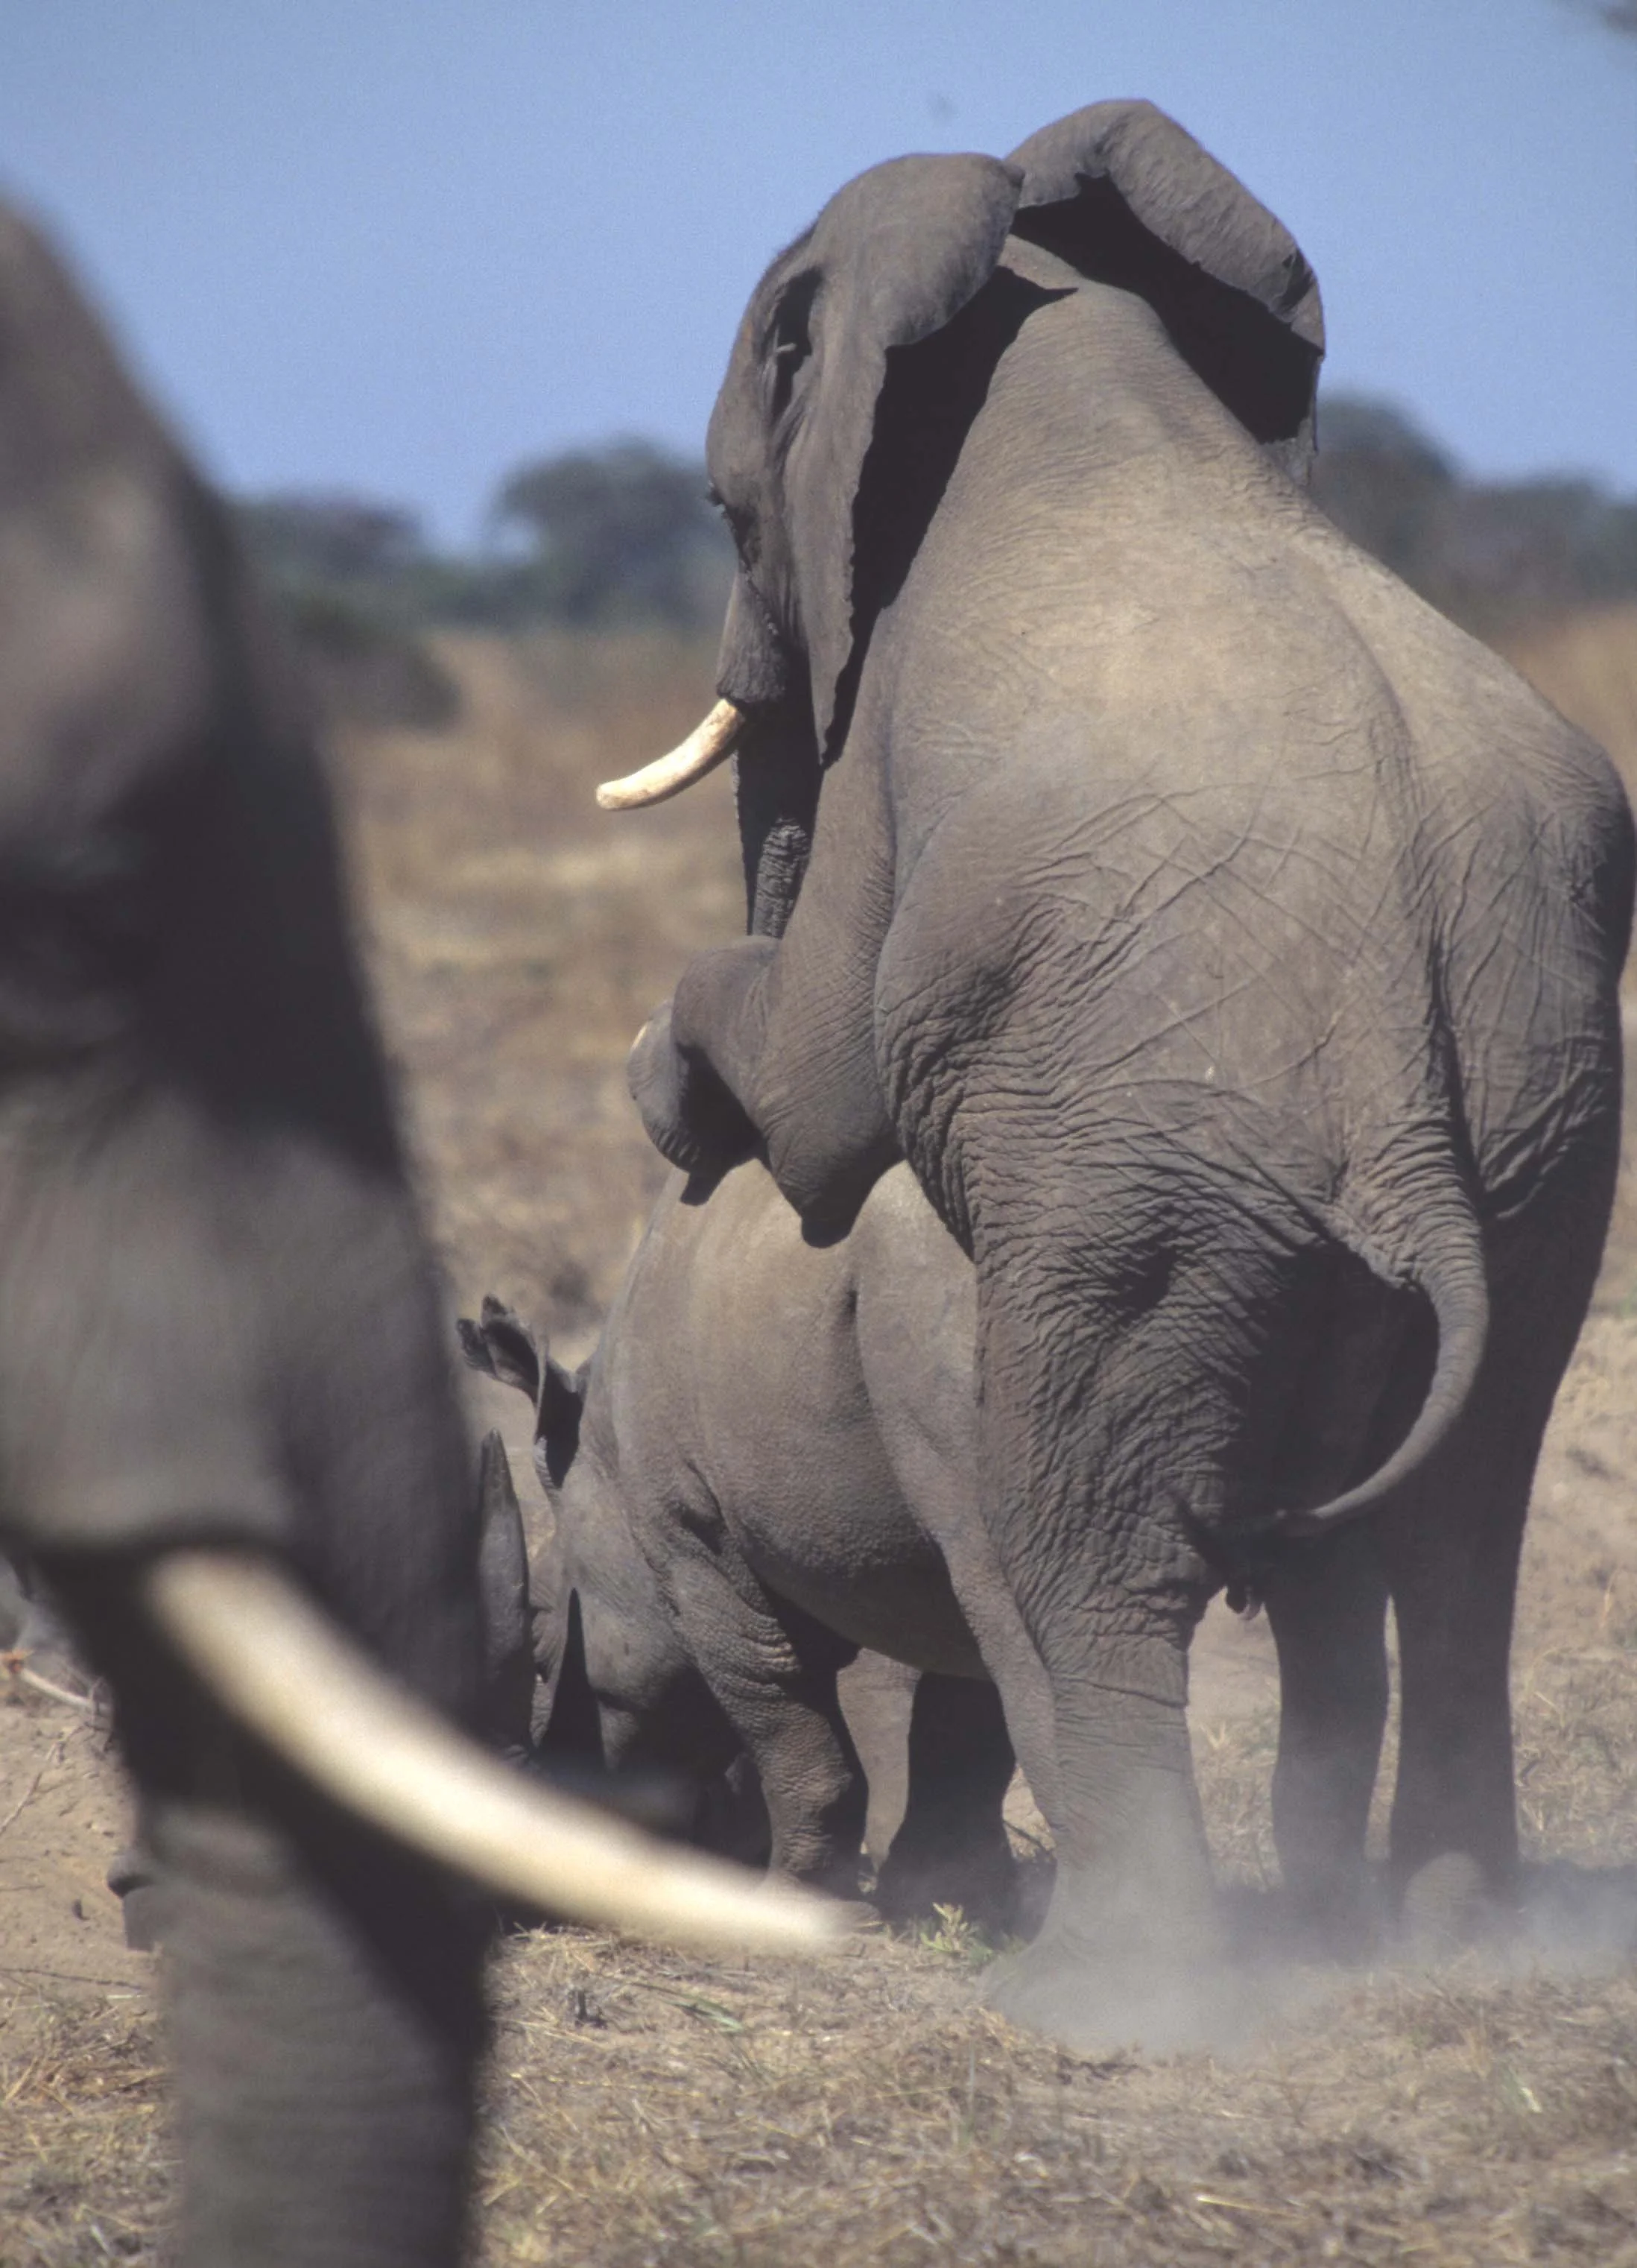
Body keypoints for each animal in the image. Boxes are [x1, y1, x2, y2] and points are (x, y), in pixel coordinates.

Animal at [606, 101, 1635, 2038]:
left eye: (714, 505)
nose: (683, 1177)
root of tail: (1401, 1114)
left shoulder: (891, 754)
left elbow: (826, 1079)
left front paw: (678, 1093)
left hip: (1144, 1184)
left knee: (1086, 1537)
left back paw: (1115, 1989)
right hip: (1541, 1158)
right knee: (1459, 1530)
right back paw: (1429, 1928)